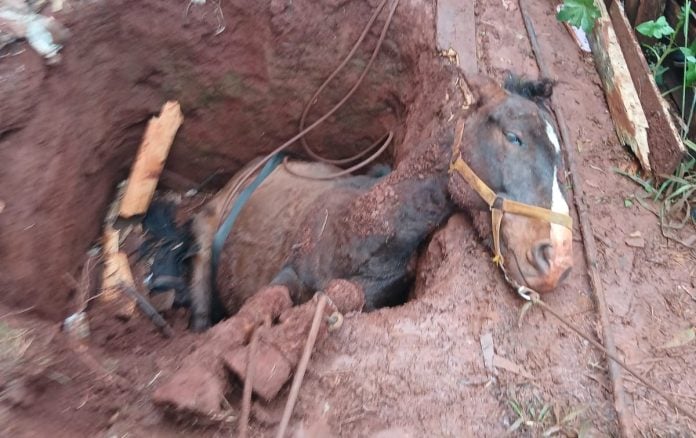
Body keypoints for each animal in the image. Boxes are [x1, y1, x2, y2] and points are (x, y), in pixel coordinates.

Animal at [177, 72, 573, 331]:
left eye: (559, 158)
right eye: (513, 137)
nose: (557, 260)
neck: (354, 230)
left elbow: (336, 296)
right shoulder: (287, 273)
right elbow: (265, 302)